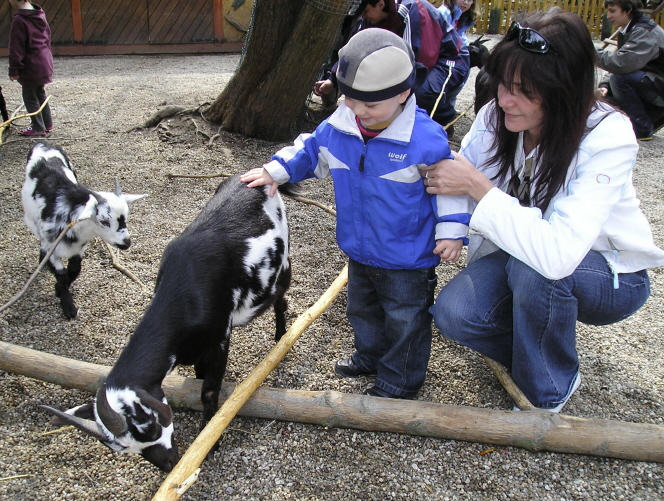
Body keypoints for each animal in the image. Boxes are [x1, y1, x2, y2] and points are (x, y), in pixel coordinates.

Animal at [21, 143, 145, 318]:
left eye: (126, 218)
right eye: (104, 221)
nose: (126, 243)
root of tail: (43, 144)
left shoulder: (79, 248)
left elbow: (74, 270)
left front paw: (60, 292)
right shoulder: (50, 246)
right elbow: (61, 274)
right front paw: (68, 306)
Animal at [44, 174, 294, 470]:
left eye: (147, 425)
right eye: (121, 448)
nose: (169, 463)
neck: (185, 297)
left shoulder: (220, 337)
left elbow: (209, 391)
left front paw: (209, 440)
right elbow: (199, 375)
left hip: (282, 263)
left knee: (281, 298)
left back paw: (280, 336)